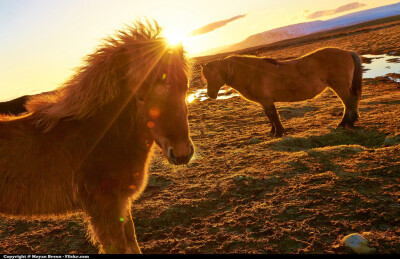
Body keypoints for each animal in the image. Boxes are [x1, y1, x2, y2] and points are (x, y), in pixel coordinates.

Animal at [0, 19, 194, 254]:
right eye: (139, 96)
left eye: (185, 86)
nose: (181, 153)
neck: (97, 138)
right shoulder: (104, 209)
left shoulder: (121, 204)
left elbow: (132, 241)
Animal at [200, 48, 362, 139]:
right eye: (205, 76)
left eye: (213, 75)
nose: (210, 95)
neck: (252, 72)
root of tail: (347, 52)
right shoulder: (264, 102)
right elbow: (269, 116)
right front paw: (272, 132)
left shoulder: (267, 100)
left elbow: (273, 116)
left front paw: (278, 133)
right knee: (350, 102)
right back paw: (349, 122)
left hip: (340, 86)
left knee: (349, 102)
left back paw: (343, 123)